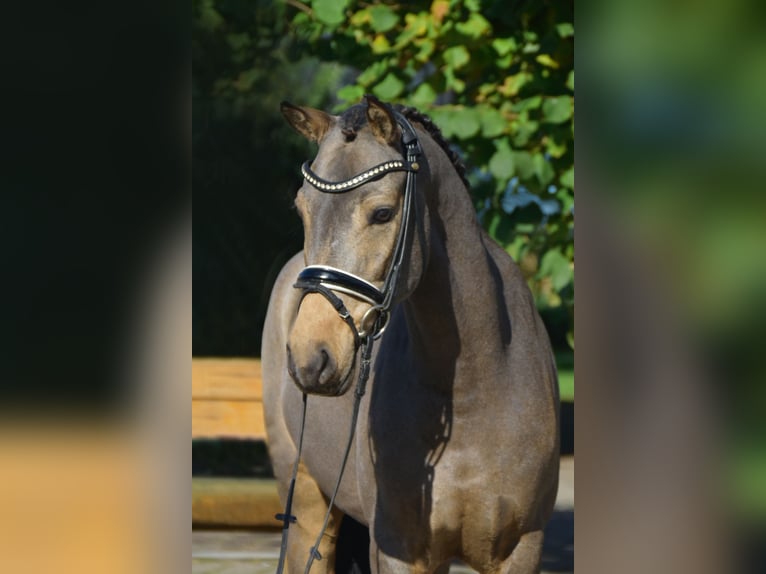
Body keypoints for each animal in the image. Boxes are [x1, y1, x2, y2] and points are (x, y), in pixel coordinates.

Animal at [260, 95, 560, 574]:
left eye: (382, 213)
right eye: (302, 210)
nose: (310, 357)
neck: (474, 385)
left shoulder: (521, 549)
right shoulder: (397, 549)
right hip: (305, 498)